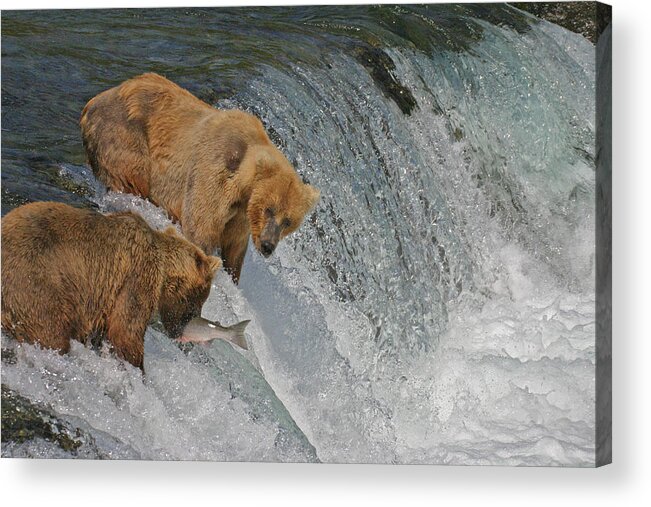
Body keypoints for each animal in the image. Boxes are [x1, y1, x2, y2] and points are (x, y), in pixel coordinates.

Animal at [0, 200, 222, 372]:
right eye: (201, 297)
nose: (183, 328)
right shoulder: (137, 274)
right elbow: (125, 331)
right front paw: (138, 369)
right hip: (38, 287)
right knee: (51, 333)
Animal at [81, 73, 320, 284]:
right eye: (269, 209)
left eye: (288, 221)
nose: (268, 245)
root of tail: (96, 100)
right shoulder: (214, 172)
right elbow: (201, 229)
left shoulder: (240, 213)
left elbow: (234, 247)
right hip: (124, 136)